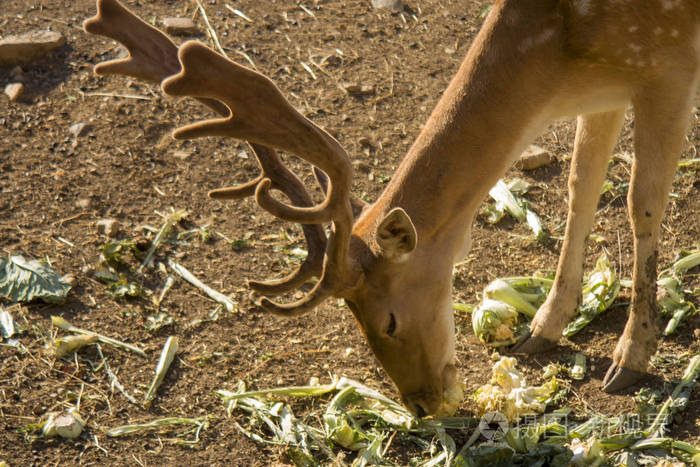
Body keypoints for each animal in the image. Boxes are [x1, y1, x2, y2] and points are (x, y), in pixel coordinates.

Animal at [83, 0, 700, 416]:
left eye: (390, 319)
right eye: (354, 322)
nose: (422, 406)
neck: (562, 52)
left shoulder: (668, 69)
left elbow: (641, 204)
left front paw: (631, 357)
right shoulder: (602, 92)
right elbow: (579, 189)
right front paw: (543, 328)